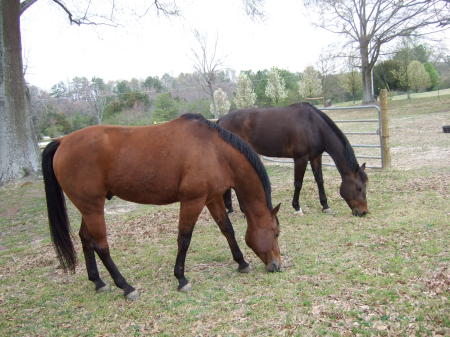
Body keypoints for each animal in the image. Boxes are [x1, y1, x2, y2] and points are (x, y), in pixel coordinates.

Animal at [42, 113, 282, 300]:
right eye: (276, 233)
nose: (277, 265)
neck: (214, 150)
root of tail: (62, 141)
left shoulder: (212, 198)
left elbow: (227, 230)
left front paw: (242, 262)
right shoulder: (192, 201)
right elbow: (184, 238)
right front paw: (181, 278)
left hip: (88, 208)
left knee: (85, 239)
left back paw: (98, 282)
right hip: (93, 207)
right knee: (101, 245)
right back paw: (126, 287)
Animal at [218, 102, 370, 217]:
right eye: (359, 188)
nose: (363, 212)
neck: (313, 126)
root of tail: (220, 121)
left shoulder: (316, 157)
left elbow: (319, 180)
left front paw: (325, 206)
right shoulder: (300, 158)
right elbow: (298, 183)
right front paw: (297, 208)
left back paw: (230, 209)